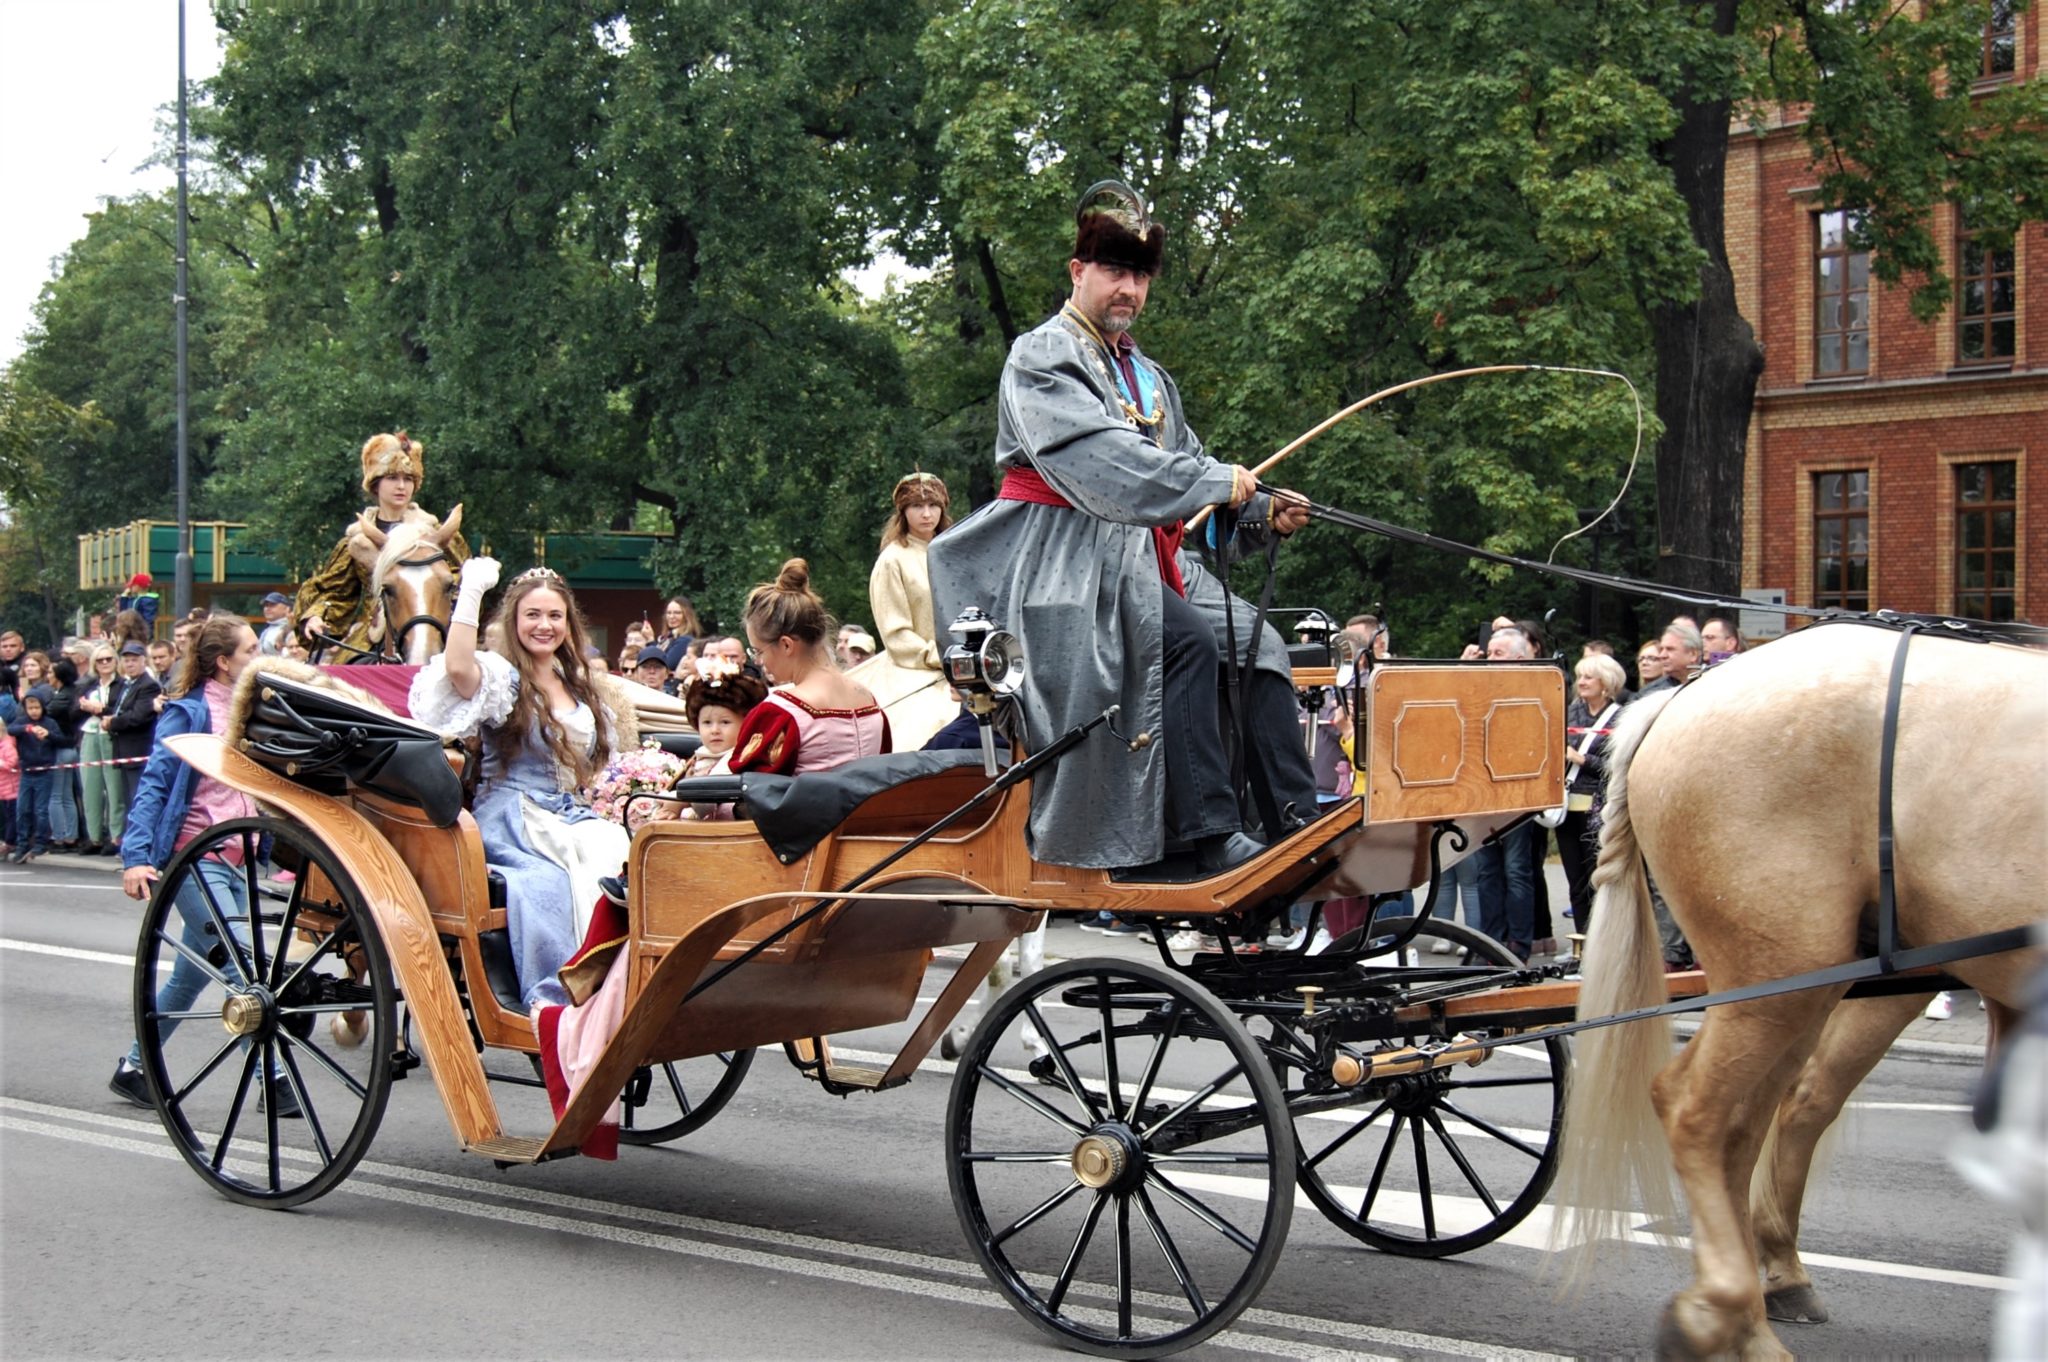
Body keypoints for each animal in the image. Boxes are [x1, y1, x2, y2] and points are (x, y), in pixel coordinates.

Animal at [1548, 622, 2048, 1351]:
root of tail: (1681, 698)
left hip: (1809, 983)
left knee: (1750, 1122)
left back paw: (1756, 1304)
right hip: (1783, 973)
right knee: (1696, 1108)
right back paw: (1725, 1311)